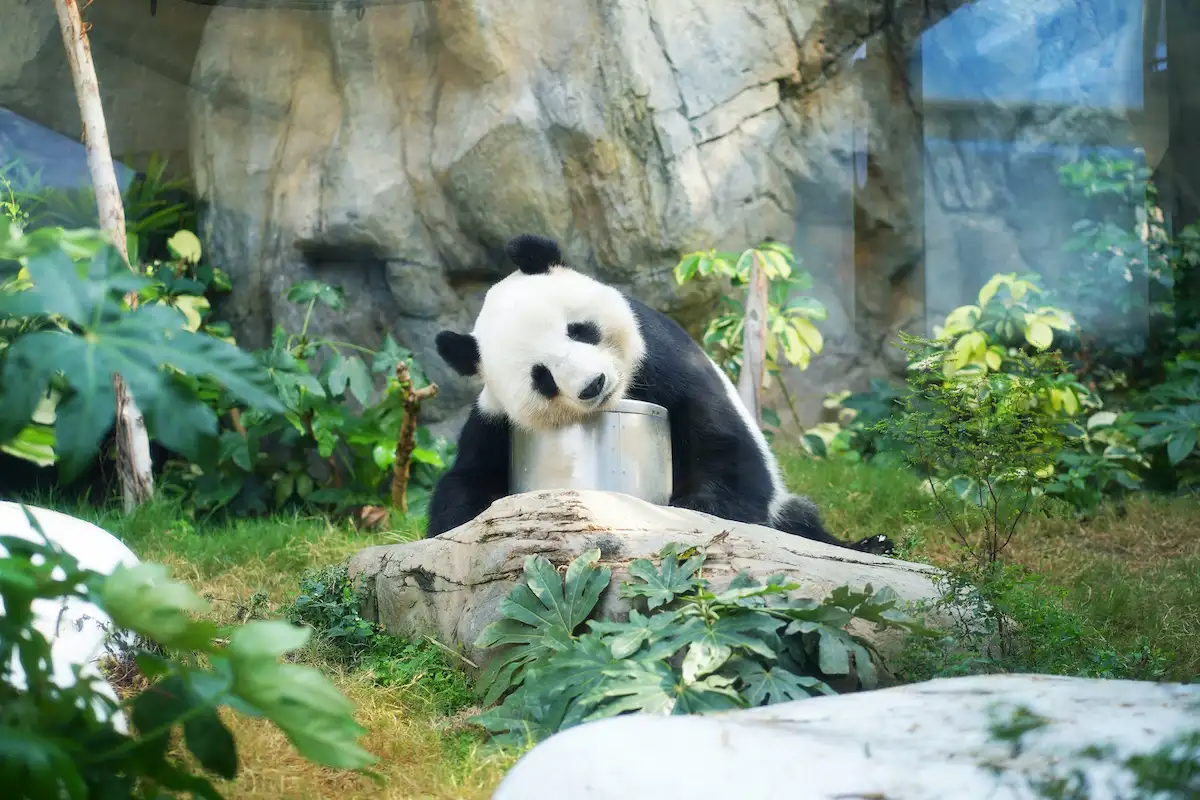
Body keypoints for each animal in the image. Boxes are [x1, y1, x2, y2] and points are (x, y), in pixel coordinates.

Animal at [426, 233, 893, 555]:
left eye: (579, 330)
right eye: (542, 378)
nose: (594, 384)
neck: (625, 389)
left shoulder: (665, 359)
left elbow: (725, 450)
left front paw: (688, 508)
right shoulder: (494, 418)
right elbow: (464, 484)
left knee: (801, 520)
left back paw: (873, 544)